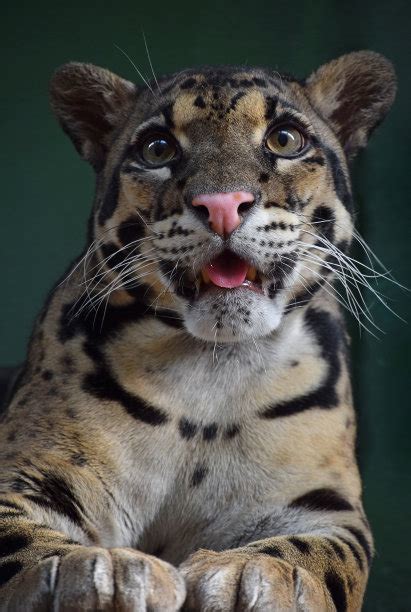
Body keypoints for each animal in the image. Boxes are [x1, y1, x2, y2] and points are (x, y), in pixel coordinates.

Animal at [0, 50, 396, 608]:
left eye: (285, 139)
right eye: (157, 148)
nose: (223, 204)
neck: (213, 368)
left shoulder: (323, 505)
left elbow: (317, 553)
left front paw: (251, 573)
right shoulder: (29, 472)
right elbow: (27, 539)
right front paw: (101, 569)